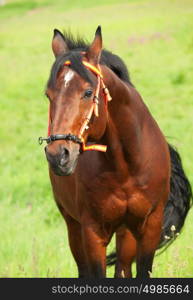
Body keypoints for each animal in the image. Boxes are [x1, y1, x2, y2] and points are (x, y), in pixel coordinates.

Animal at [39, 27, 191, 278]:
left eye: (87, 92)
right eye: (48, 95)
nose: (57, 155)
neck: (126, 167)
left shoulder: (149, 227)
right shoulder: (92, 231)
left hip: (125, 233)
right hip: (73, 225)